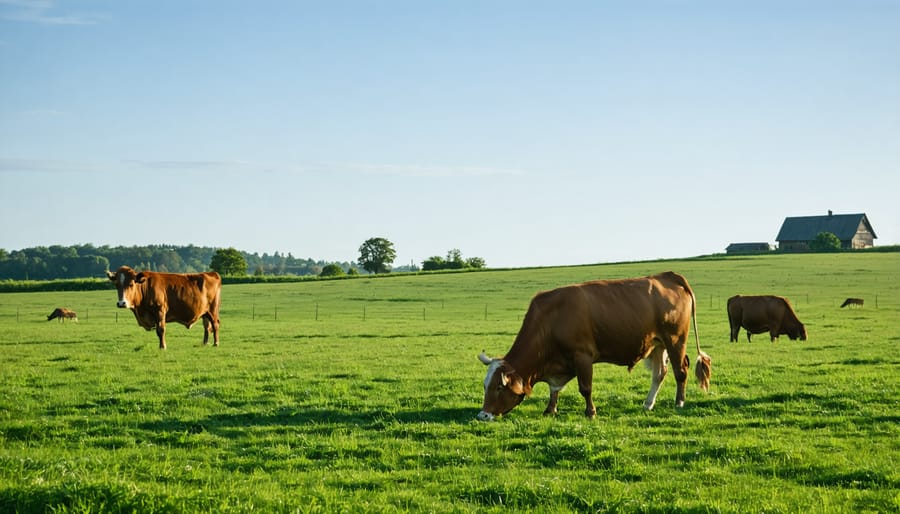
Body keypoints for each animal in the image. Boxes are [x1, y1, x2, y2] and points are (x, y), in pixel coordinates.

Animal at [474, 270, 712, 418]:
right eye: (485, 386)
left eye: (498, 387)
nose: (483, 415)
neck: (551, 318)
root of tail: (668, 276)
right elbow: (554, 389)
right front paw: (550, 409)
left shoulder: (582, 356)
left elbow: (585, 388)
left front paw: (590, 412)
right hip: (658, 344)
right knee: (659, 374)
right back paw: (648, 404)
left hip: (675, 340)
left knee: (681, 371)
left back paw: (679, 402)